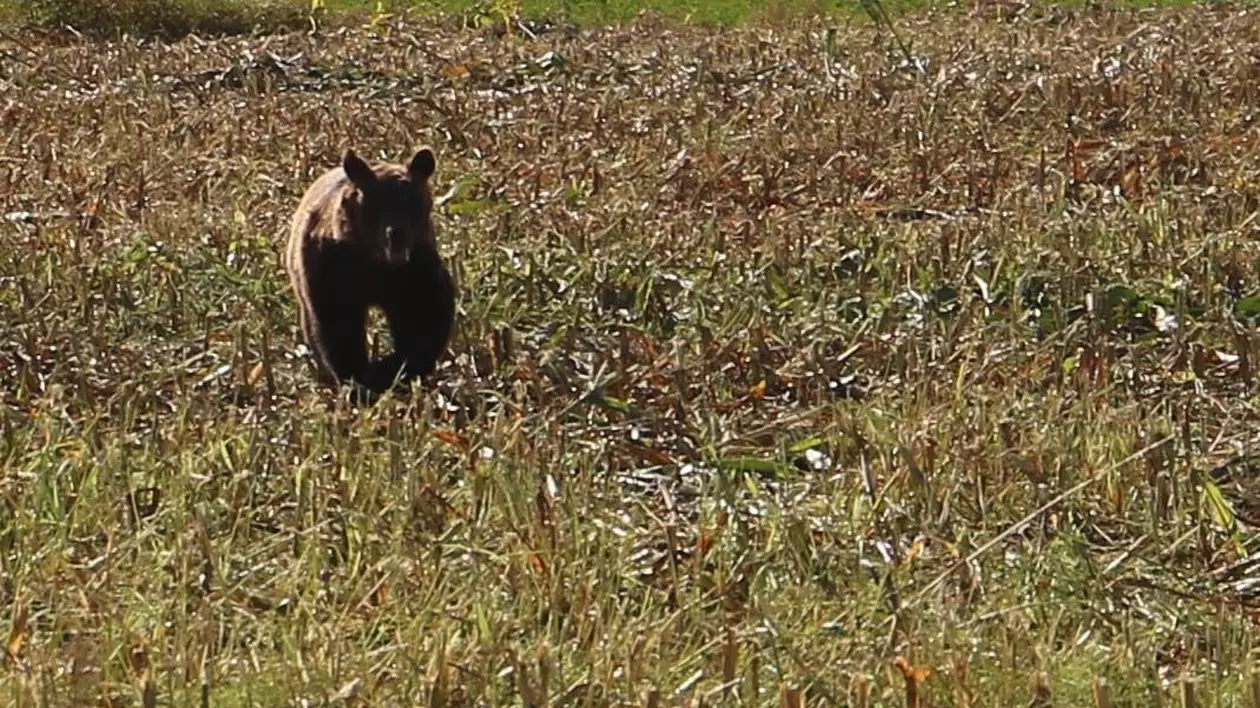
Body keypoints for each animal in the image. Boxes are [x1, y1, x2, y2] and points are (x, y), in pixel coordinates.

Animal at [287, 146, 458, 400]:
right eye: (375, 204)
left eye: (412, 203)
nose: (396, 234)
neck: (376, 261)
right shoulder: (333, 270)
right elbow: (338, 324)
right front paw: (358, 381)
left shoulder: (415, 271)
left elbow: (425, 318)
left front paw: (388, 371)